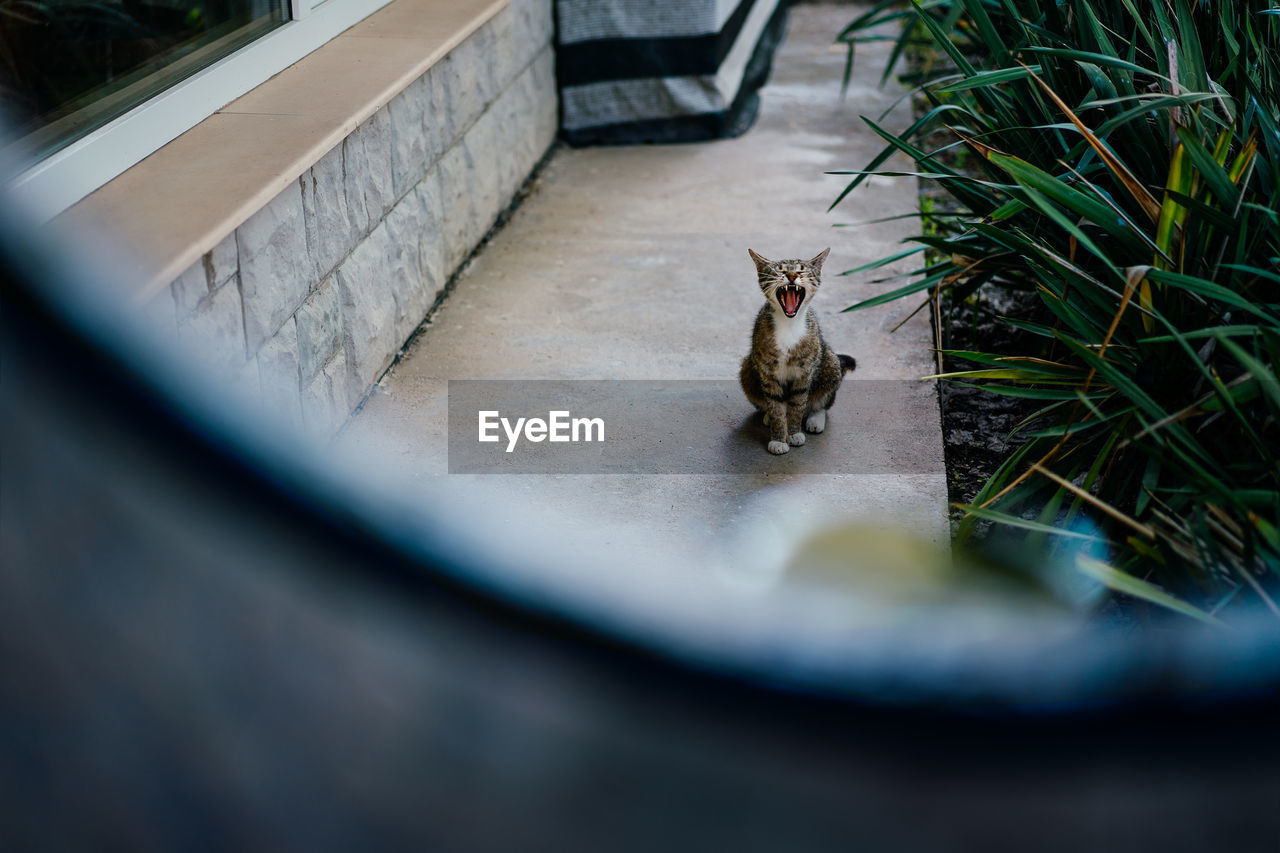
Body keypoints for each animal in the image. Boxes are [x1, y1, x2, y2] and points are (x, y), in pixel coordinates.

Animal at [742, 249, 849, 455]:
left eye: (801, 270)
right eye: (780, 270)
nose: (791, 276)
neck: (789, 324)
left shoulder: (805, 372)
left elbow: (798, 403)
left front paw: (793, 433)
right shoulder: (767, 371)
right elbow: (775, 406)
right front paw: (778, 438)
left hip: (830, 361)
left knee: (822, 401)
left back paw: (815, 418)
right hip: (747, 368)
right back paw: (768, 416)